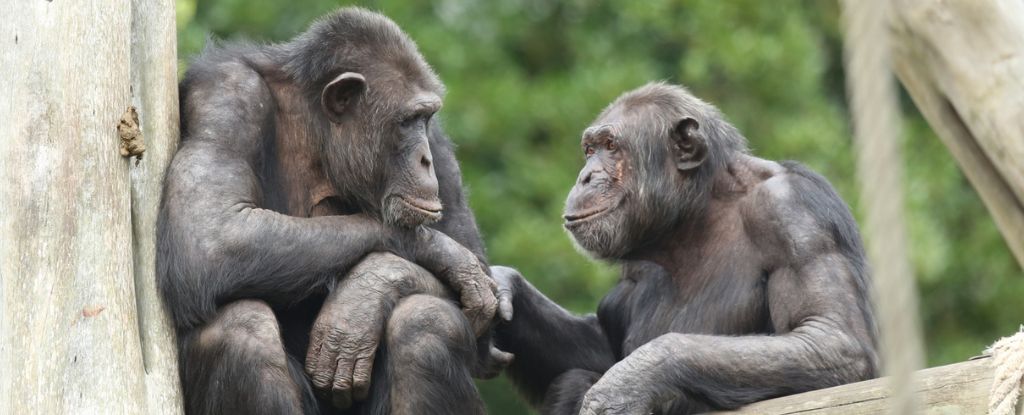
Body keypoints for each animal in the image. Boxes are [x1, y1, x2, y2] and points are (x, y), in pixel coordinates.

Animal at [156, 7, 507, 413]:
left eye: (426, 118)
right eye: (407, 121)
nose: (425, 160)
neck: (317, 131)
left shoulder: (438, 144)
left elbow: (484, 310)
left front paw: (365, 294)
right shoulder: (225, 96)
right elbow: (210, 235)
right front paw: (442, 252)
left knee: (426, 323)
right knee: (239, 329)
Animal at [491, 82, 876, 411]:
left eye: (611, 147)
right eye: (589, 150)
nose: (586, 176)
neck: (696, 214)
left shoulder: (793, 213)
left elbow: (830, 337)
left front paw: (629, 382)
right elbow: (601, 347)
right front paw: (504, 287)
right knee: (571, 378)